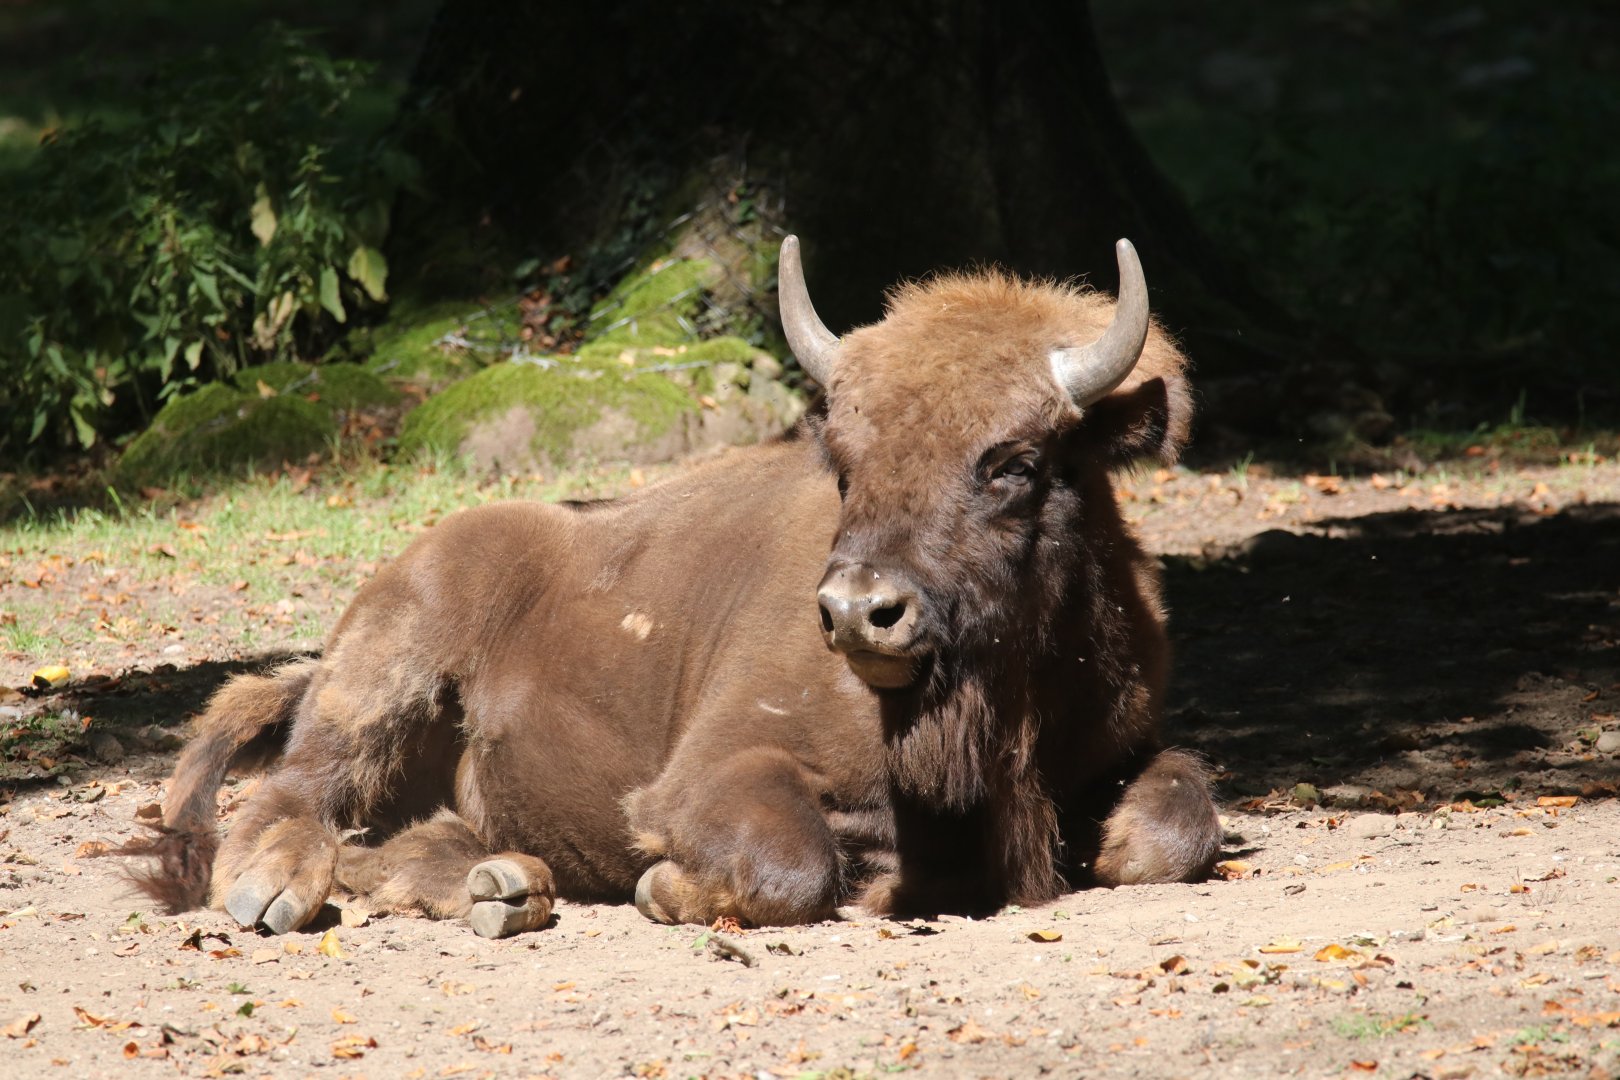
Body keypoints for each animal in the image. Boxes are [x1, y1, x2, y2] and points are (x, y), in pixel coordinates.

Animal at [129, 236, 1222, 937]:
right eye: (845, 464)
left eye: (1015, 464)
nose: (856, 612)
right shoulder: (714, 771)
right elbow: (795, 863)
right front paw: (669, 890)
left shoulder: (1127, 744)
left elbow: (1177, 824)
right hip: (383, 672)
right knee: (298, 789)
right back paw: (272, 891)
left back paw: (501, 887)